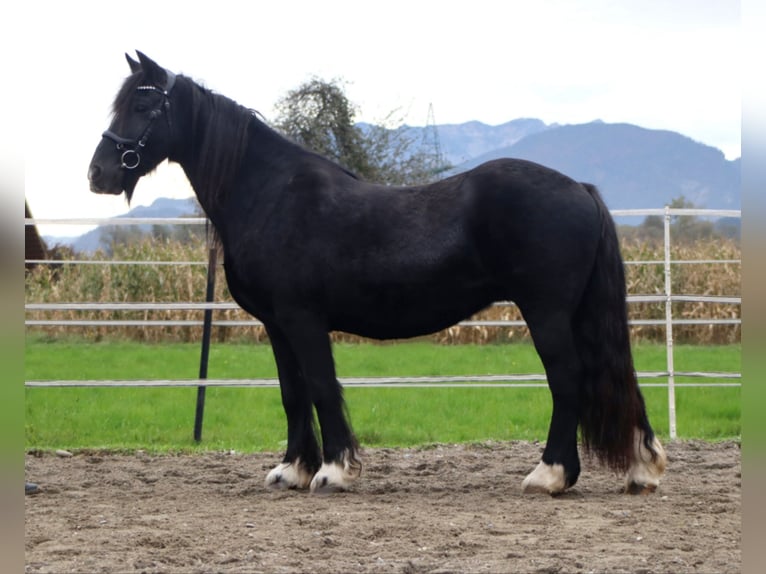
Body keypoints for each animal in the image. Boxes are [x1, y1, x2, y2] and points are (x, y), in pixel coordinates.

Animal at [88, 51, 664, 498]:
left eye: (143, 104)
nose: (98, 173)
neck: (270, 193)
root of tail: (580, 188)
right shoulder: (276, 324)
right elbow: (292, 392)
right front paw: (292, 470)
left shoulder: (302, 318)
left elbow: (321, 386)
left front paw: (334, 472)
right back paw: (639, 468)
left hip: (546, 312)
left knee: (567, 379)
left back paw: (550, 475)